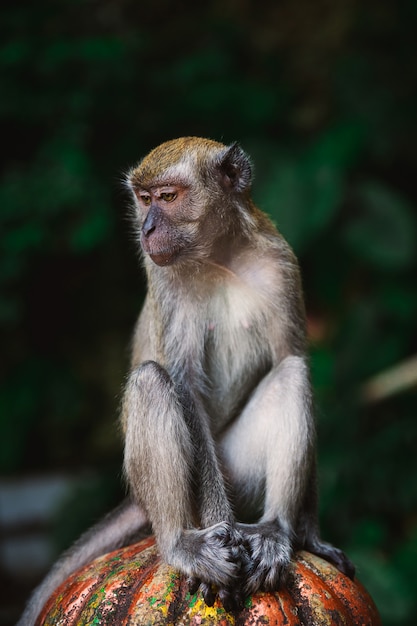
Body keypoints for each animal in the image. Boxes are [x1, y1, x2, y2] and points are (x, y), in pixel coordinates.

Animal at [17, 138, 352, 624]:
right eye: (144, 199)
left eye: (168, 197)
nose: (147, 228)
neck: (219, 258)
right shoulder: (165, 278)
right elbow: (185, 389)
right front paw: (224, 530)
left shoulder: (281, 264)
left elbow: (292, 356)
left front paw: (308, 534)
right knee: (151, 381)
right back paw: (182, 544)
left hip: (239, 471)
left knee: (291, 373)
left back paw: (274, 529)